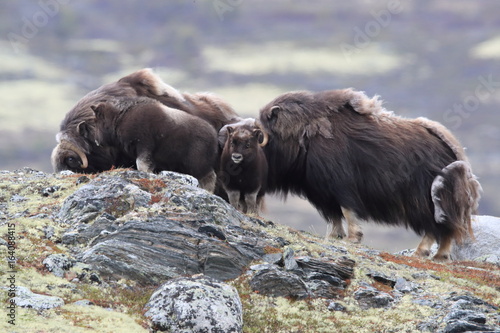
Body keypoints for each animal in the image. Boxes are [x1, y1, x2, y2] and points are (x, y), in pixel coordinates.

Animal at [258, 89, 480, 262]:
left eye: (259, 135)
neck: (302, 135)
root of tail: (453, 151)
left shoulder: (340, 185)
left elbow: (347, 210)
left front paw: (353, 237)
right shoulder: (323, 193)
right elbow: (334, 216)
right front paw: (334, 237)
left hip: (427, 199)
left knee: (436, 227)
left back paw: (420, 253)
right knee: (446, 228)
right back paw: (439, 256)